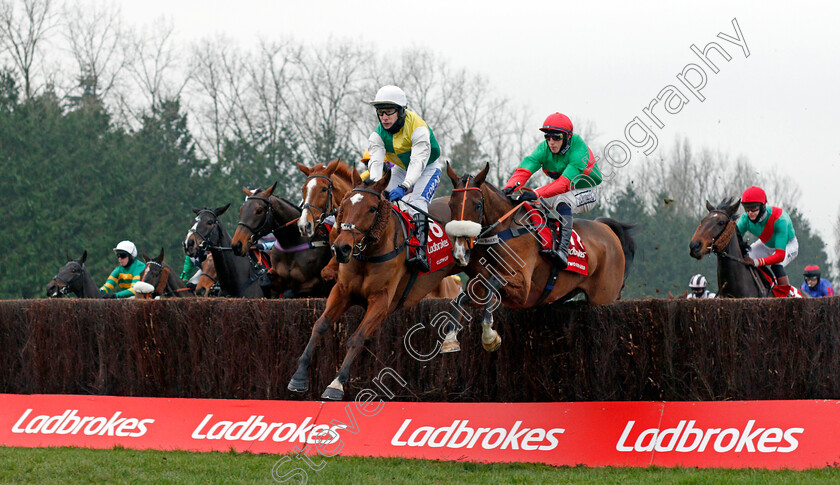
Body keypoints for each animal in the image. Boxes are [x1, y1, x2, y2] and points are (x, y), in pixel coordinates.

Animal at [288, 172, 460, 398]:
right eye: (345, 205)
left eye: (372, 209)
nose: (341, 248)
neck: (368, 254)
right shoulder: (342, 292)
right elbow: (320, 324)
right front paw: (299, 376)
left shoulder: (381, 301)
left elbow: (357, 337)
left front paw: (336, 383)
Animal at [446, 164, 632, 350]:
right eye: (450, 204)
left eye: (477, 205)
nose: (460, 252)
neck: (502, 231)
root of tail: (607, 229)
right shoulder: (480, 288)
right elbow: (460, 298)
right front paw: (450, 338)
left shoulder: (524, 289)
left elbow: (494, 280)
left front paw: (489, 336)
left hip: (603, 297)